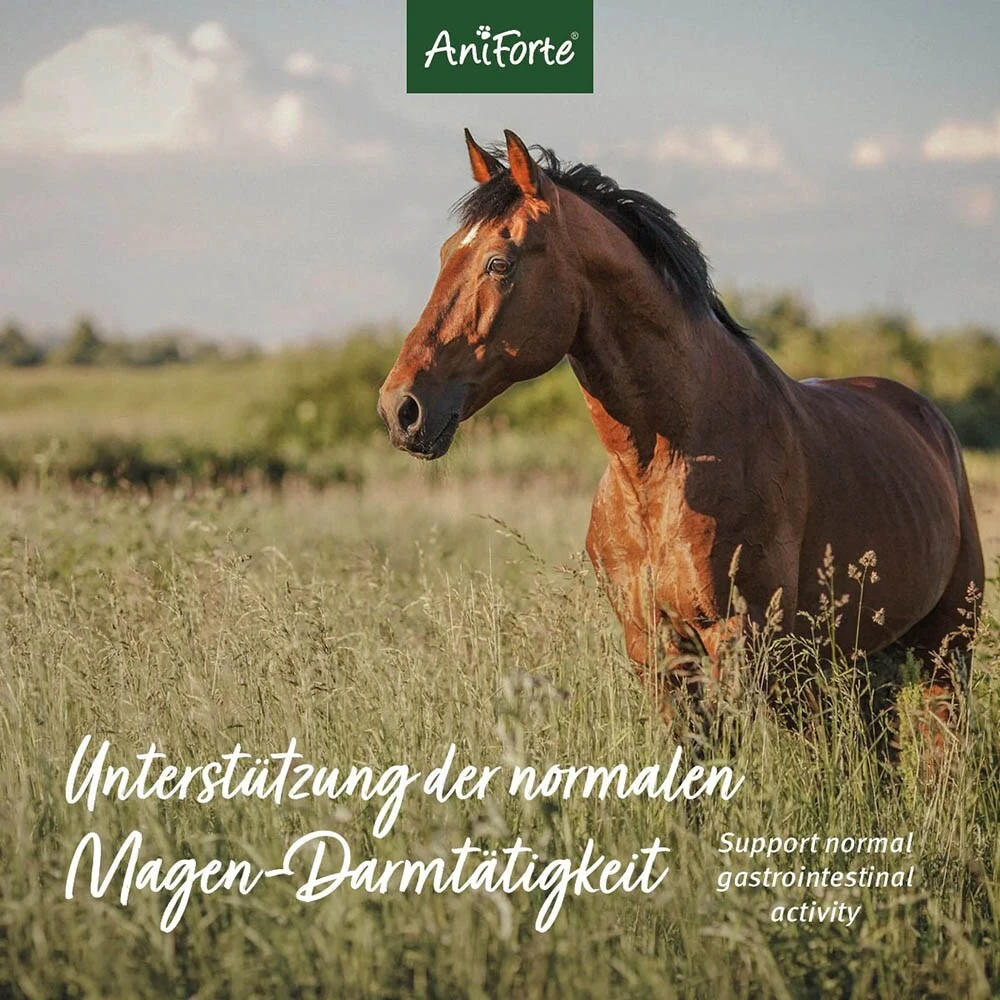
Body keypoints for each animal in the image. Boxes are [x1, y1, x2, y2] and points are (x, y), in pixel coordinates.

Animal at [377, 128, 984, 732]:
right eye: (445, 253)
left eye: (499, 264)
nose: (400, 409)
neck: (665, 468)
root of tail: (926, 417)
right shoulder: (653, 647)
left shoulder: (739, 641)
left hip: (944, 650)